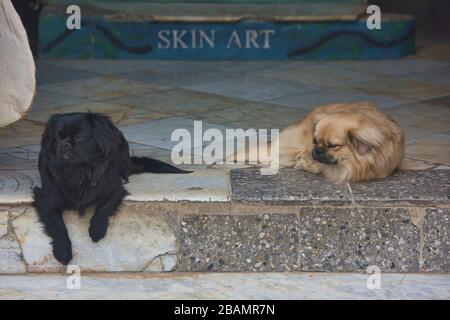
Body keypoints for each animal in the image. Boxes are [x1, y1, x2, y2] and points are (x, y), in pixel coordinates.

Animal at [33, 112, 190, 264]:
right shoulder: (45, 200)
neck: (80, 171)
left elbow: (103, 208)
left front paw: (97, 230)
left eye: (79, 137)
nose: (63, 145)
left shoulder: (115, 189)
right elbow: (59, 227)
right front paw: (63, 251)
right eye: (57, 138)